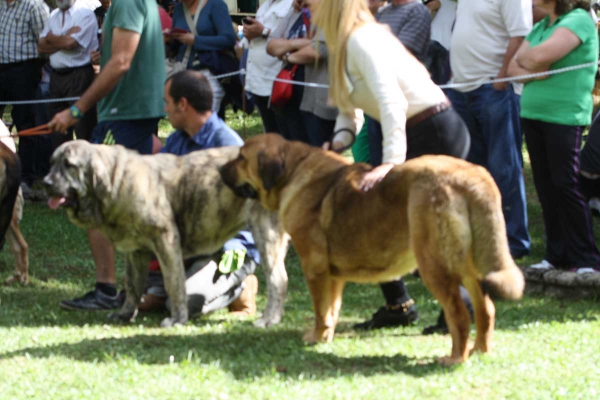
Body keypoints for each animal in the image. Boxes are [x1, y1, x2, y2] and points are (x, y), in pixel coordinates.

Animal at [42, 141, 288, 328]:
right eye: (51, 163)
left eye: (69, 165)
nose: (45, 183)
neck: (116, 181)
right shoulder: (137, 251)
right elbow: (133, 286)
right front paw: (124, 314)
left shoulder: (166, 240)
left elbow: (174, 283)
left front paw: (177, 320)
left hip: (265, 233)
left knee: (278, 279)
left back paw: (268, 319)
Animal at [220, 134, 524, 366]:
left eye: (241, 158)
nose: (221, 169)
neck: (293, 172)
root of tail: (473, 176)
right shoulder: (334, 275)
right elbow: (332, 309)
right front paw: (325, 338)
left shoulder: (314, 268)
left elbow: (320, 310)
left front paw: (316, 337)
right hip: (471, 267)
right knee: (486, 309)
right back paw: (480, 350)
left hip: (434, 265)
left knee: (459, 314)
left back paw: (454, 358)